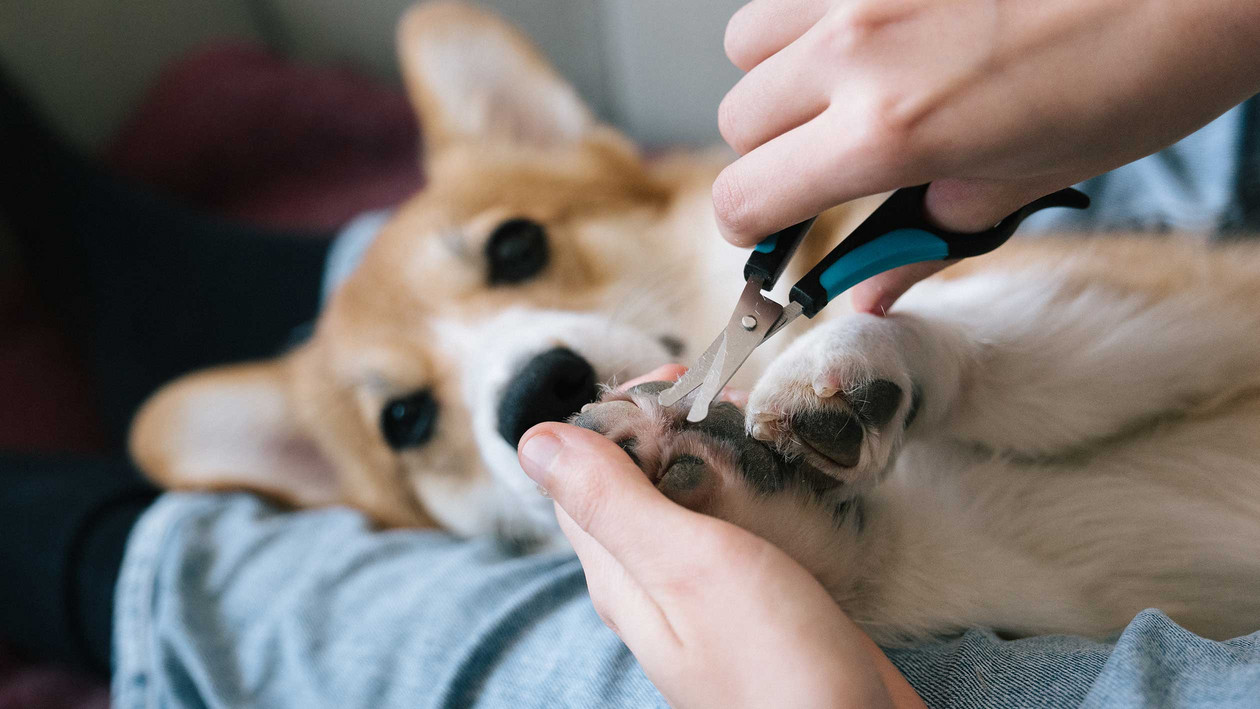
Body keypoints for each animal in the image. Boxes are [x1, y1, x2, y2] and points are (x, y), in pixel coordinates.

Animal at [130, 0, 1260, 644]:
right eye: (403, 420)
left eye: (516, 247)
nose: (536, 390)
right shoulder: (1038, 561)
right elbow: (869, 564)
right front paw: (719, 474)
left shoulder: (1189, 298)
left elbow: (1003, 342)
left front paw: (834, 369)